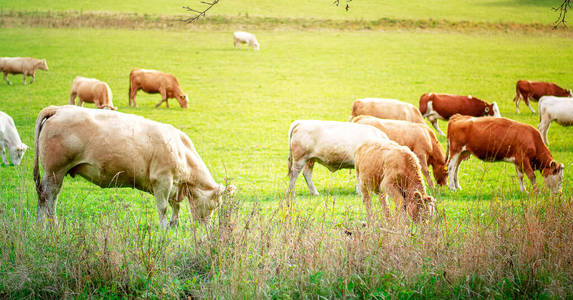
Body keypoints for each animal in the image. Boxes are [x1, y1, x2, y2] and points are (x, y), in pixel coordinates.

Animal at [34, 105, 235, 227]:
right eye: (216, 204)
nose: (207, 227)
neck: (182, 152)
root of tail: (59, 109)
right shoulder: (162, 180)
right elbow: (163, 207)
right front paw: (165, 229)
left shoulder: (174, 186)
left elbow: (176, 207)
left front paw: (174, 225)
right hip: (55, 171)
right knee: (49, 198)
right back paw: (51, 224)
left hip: (53, 173)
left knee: (44, 197)